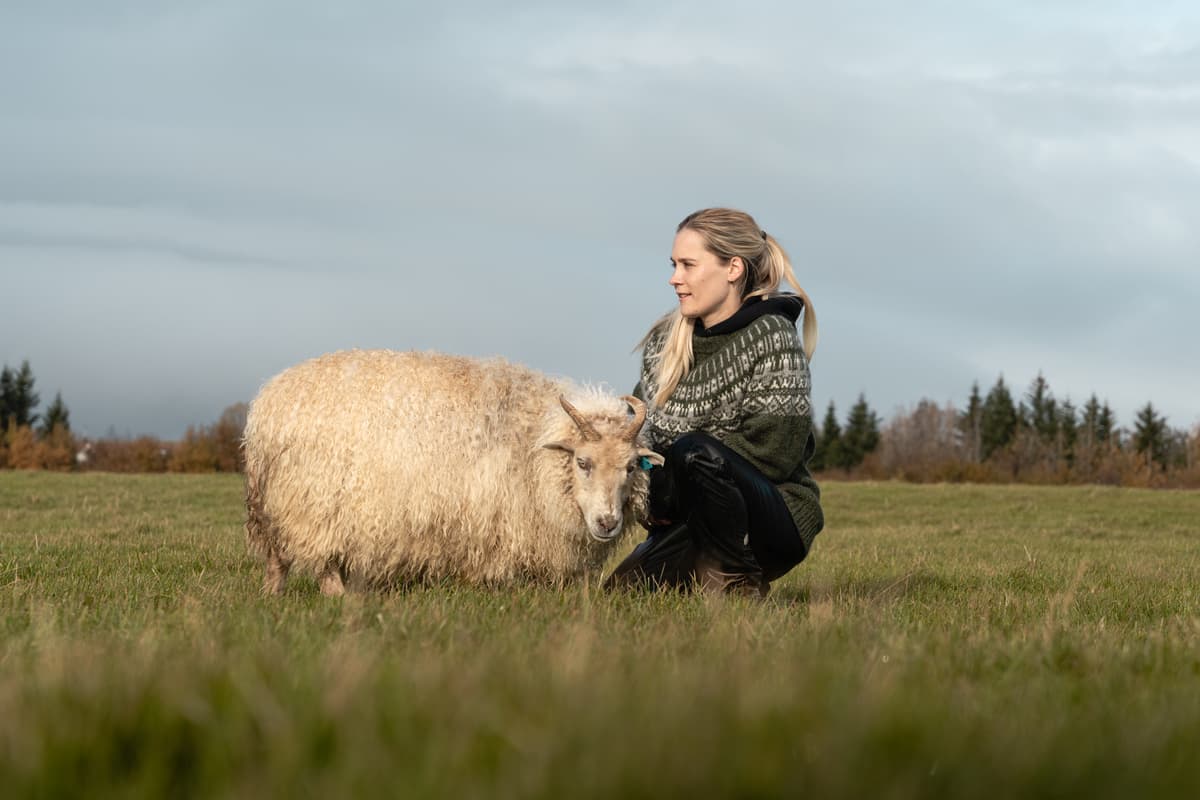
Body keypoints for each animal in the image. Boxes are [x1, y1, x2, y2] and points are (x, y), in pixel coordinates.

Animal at [243, 349, 664, 595]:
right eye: (582, 462)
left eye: (630, 466)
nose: (607, 523)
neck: (532, 443)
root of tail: (269, 399)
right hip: (313, 502)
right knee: (321, 560)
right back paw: (338, 598)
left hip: (276, 503)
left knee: (277, 558)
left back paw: (273, 595)